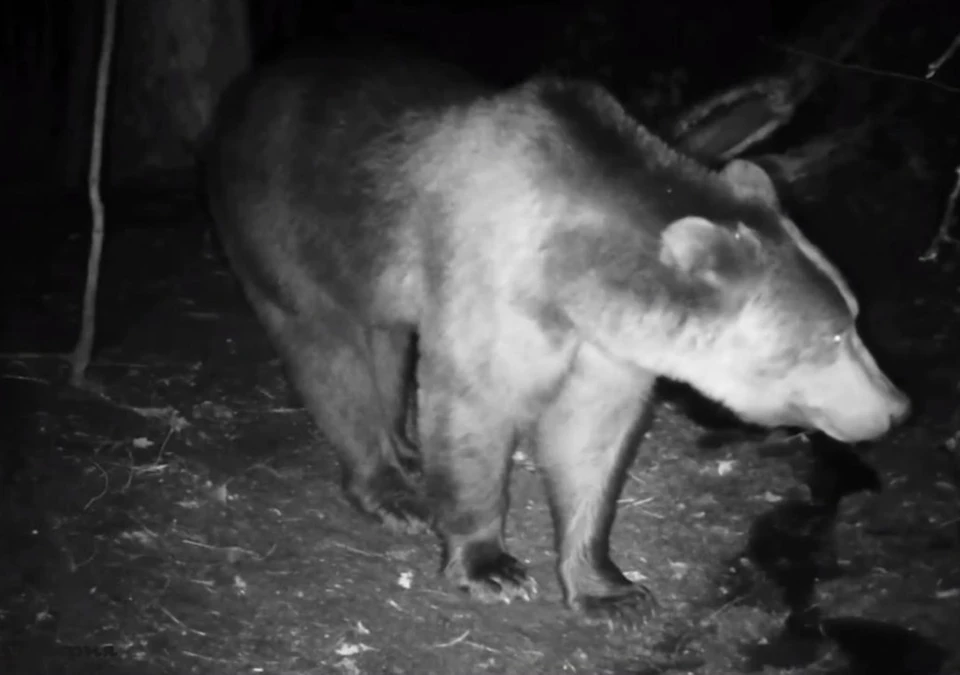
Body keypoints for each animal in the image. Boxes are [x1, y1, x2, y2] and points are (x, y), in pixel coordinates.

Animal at [205, 43, 910, 626]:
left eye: (854, 316)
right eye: (832, 337)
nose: (897, 407)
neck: (574, 273)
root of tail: (246, 88)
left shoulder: (607, 346)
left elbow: (591, 439)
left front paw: (610, 590)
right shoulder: (489, 282)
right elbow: (474, 406)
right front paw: (491, 567)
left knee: (385, 342)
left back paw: (403, 445)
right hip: (286, 226)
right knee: (330, 355)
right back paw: (389, 487)